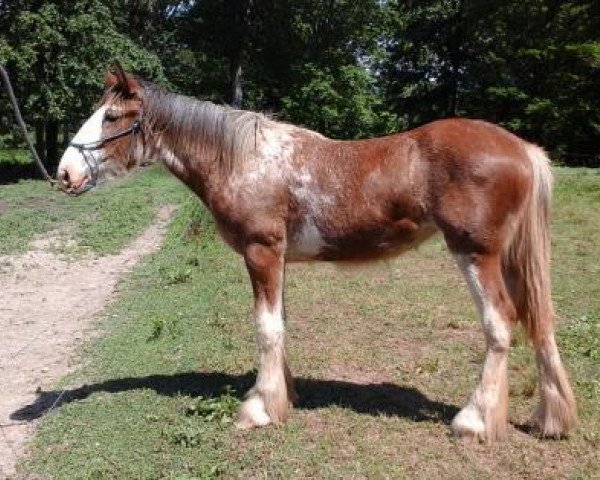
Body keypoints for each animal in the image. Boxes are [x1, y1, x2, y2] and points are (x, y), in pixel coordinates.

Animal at [57, 66, 576, 442]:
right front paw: (281, 394)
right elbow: (279, 325)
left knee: (501, 324)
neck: (246, 160)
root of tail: (523, 149)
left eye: (111, 117)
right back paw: (551, 419)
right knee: (538, 321)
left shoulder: (261, 252)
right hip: (509, 259)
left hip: (475, 253)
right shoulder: (277, 259)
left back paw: (473, 421)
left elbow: (266, 328)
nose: (64, 173)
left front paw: (259, 410)